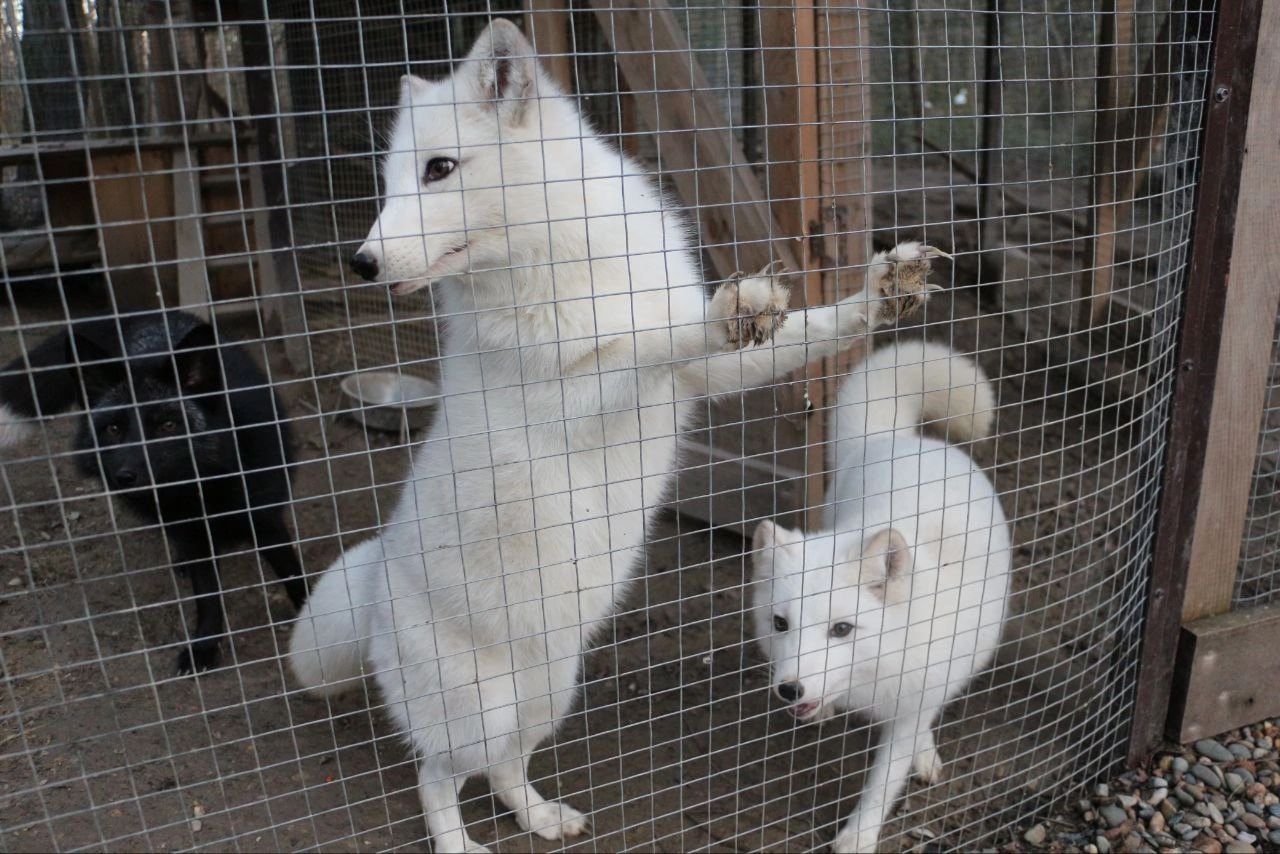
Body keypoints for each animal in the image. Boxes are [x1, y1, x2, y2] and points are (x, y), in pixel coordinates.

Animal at [0, 307, 307, 676]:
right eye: (113, 429)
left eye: (168, 425)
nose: (124, 477)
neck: (202, 492)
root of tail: (143, 316)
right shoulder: (194, 537)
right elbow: (207, 598)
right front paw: (204, 647)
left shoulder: (264, 519)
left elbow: (291, 572)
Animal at [290, 20, 947, 854]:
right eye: (389, 182)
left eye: (439, 169)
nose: (362, 262)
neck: (563, 261)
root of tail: (376, 577)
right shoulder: (574, 389)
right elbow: (646, 345)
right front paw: (722, 312)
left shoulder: (710, 379)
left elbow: (799, 330)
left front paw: (877, 294)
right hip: (479, 710)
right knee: (435, 777)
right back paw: (458, 841)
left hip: (549, 691)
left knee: (503, 771)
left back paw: (542, 815)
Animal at [747, 340, 1008, 854]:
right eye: (780, 624)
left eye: (842, 629)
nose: (790, 689)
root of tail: (904, 441)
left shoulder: (915, 698)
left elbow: (886, 778)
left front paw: (858, 835)